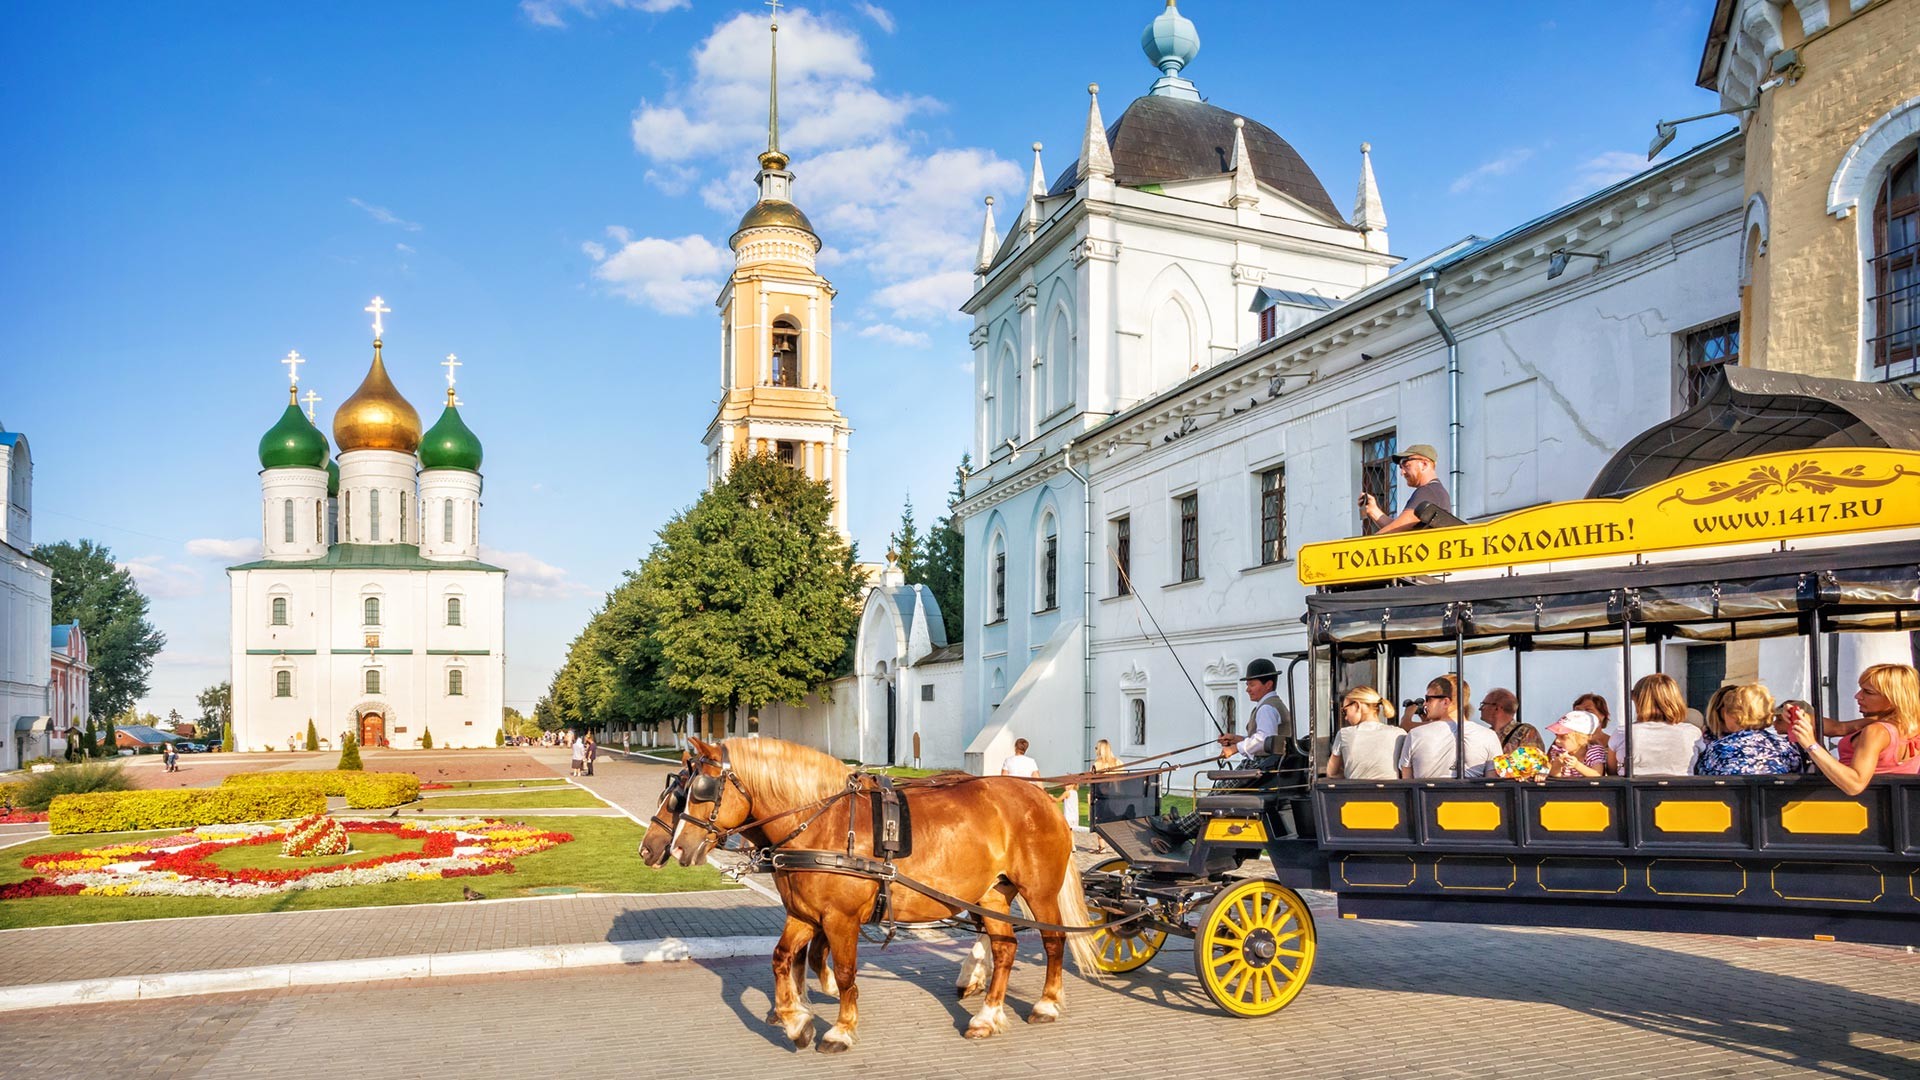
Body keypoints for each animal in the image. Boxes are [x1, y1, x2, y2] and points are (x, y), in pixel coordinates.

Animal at [652, 734, 1098, 1045]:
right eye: (681, 793)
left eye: (701, 790)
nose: (674, 848)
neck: (823, 822)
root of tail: (1040, 795)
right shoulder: (804, 913)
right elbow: (783, 958)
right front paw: (795, 1019)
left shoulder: (840, 918)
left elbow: (845, 971)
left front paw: (839, 1028)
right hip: (990, 894)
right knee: (1005, 949)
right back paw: (986, 1015)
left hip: (1038, 892)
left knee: (1053, 941)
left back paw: (1046, 1003)